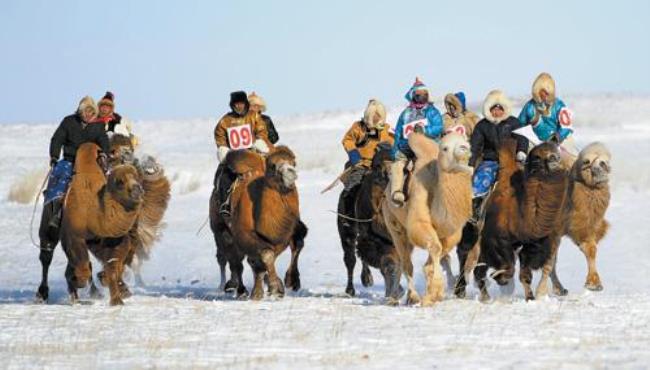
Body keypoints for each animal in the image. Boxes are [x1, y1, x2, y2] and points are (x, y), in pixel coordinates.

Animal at [380, 133, 470, 306]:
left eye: (466, 143)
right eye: (445, 148)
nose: (463, 149)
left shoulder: (451, 234)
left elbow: (440, 253)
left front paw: (432, 294)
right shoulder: (419, 216)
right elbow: (434, 247)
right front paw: (434, 294)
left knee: (401, 261)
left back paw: (395, 297)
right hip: (394, 224)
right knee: (406, 262)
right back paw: (409, 297)